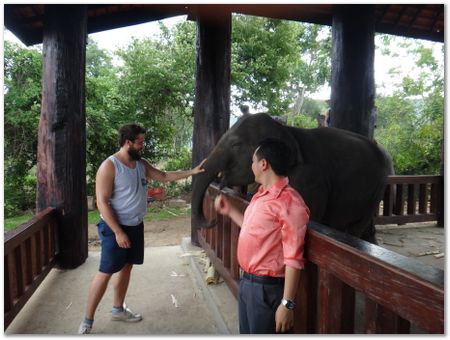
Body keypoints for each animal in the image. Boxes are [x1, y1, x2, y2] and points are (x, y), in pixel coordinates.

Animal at [192, 113, 392, 243]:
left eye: (235, 145)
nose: (213, 219)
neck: (286, 130)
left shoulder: (310, 180)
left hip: (377, 188)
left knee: (357, 226)